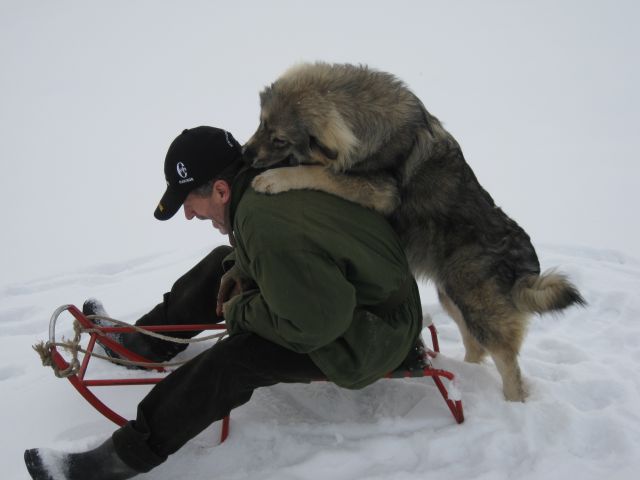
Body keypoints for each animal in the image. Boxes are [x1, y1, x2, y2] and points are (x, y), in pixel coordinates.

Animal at [244, 62, 584, 402]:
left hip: (478, 309)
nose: (246, 153)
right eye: (261, 123)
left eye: (280, 140)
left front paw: (274, 179)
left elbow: (318, 172)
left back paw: (512, 401)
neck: (360, 111)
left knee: (507, 363)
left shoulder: (381, 190)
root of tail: (524, 264)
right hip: (452, 297)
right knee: (475, 346)